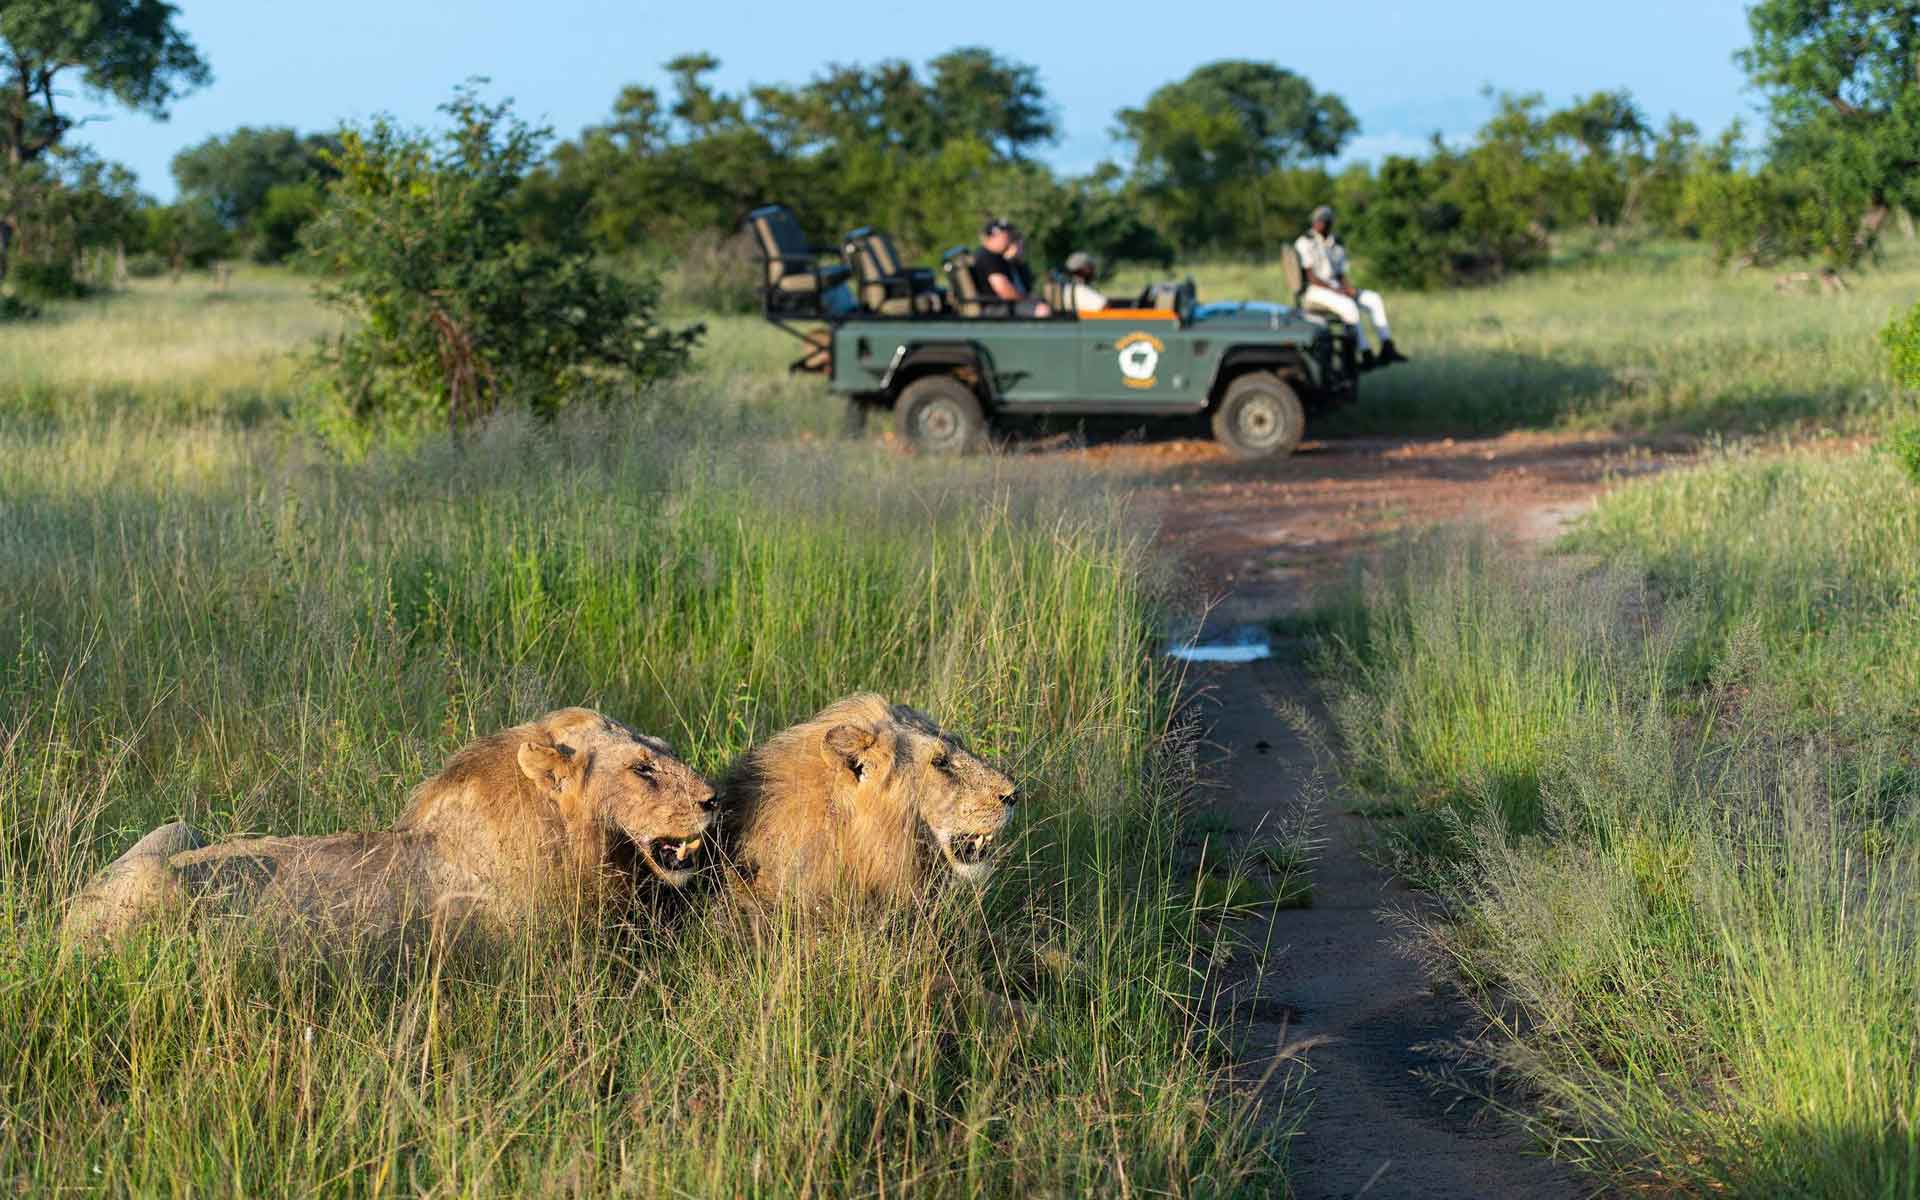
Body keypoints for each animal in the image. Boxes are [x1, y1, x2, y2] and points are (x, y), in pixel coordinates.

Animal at [63, 706, 721, 948]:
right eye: (642, 769)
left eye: (665, 749)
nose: (714, 800)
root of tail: (66, 919)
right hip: (159, 882)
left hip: (176, 829)